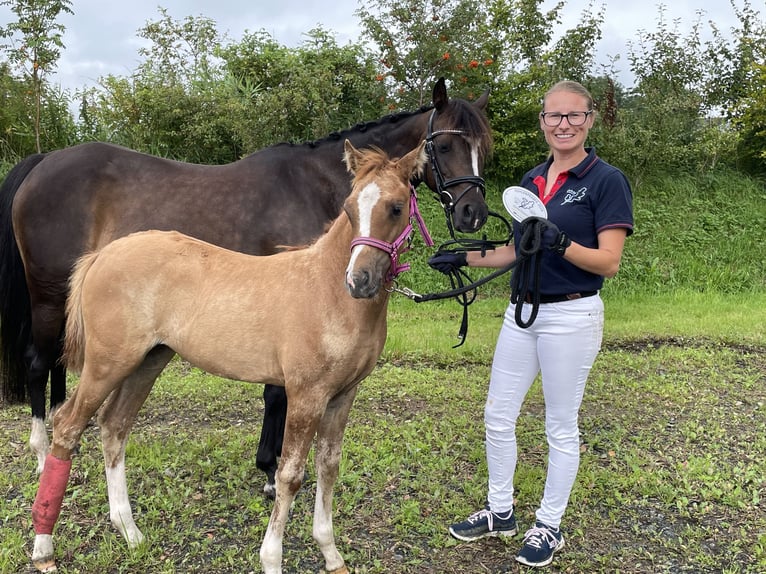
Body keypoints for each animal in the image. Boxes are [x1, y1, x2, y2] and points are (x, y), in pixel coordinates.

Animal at [0, 77, 492, 490]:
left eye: (482, 148)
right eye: (444, 144)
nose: (474, 214)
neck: (313, 183)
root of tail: (43, 162)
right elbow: (276, 396)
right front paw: (270, 470)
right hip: (48, 296)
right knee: (40, 364)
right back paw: (44, 457)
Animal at [30, 141, 432, 574]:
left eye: (396, 207)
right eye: (349, 207)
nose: (359, 281)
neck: (327, 291)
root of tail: (102, 255)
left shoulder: (342, 396)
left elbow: (328, 467)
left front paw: (331, 555)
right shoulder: (306, 395)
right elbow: (290, 475)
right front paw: (271, 559)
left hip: (148, 361)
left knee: (113, 427)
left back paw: (130, 532)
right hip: (108, 363)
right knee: (67, 426)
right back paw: (44, 548)